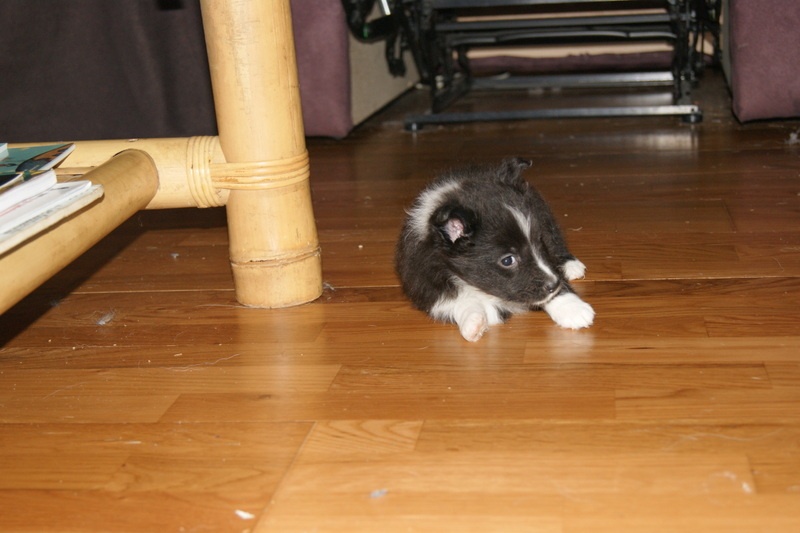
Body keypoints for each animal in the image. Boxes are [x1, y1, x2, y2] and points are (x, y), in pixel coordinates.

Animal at [395, 157, 594, 342]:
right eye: (507, 260)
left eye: (539, 241)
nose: (554, 284)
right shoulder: (425, 282)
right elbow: (454, 300)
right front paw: (473, 321)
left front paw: (572, 308)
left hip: (545, 215)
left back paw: (571, 265)